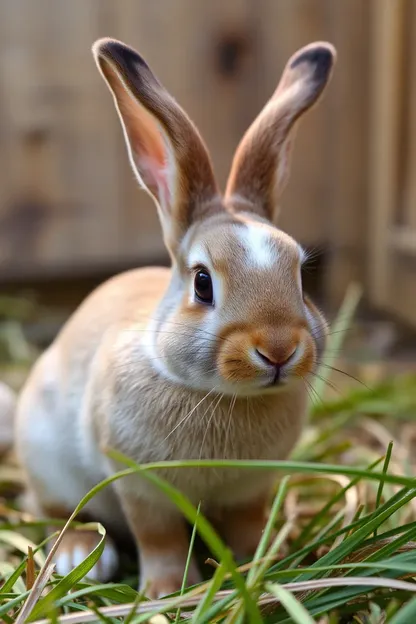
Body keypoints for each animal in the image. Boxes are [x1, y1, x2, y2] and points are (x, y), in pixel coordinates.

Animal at [13, 36, 336, 596]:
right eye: (202, 283)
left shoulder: (250, 490)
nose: (278, 349)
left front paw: (265, 563)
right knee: (55, 512)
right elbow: (157, 538)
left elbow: (248, 527)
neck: (221, 396)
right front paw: (165, 592)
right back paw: (81, 555)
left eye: (299, 274)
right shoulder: (142, 490)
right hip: (45, 456)